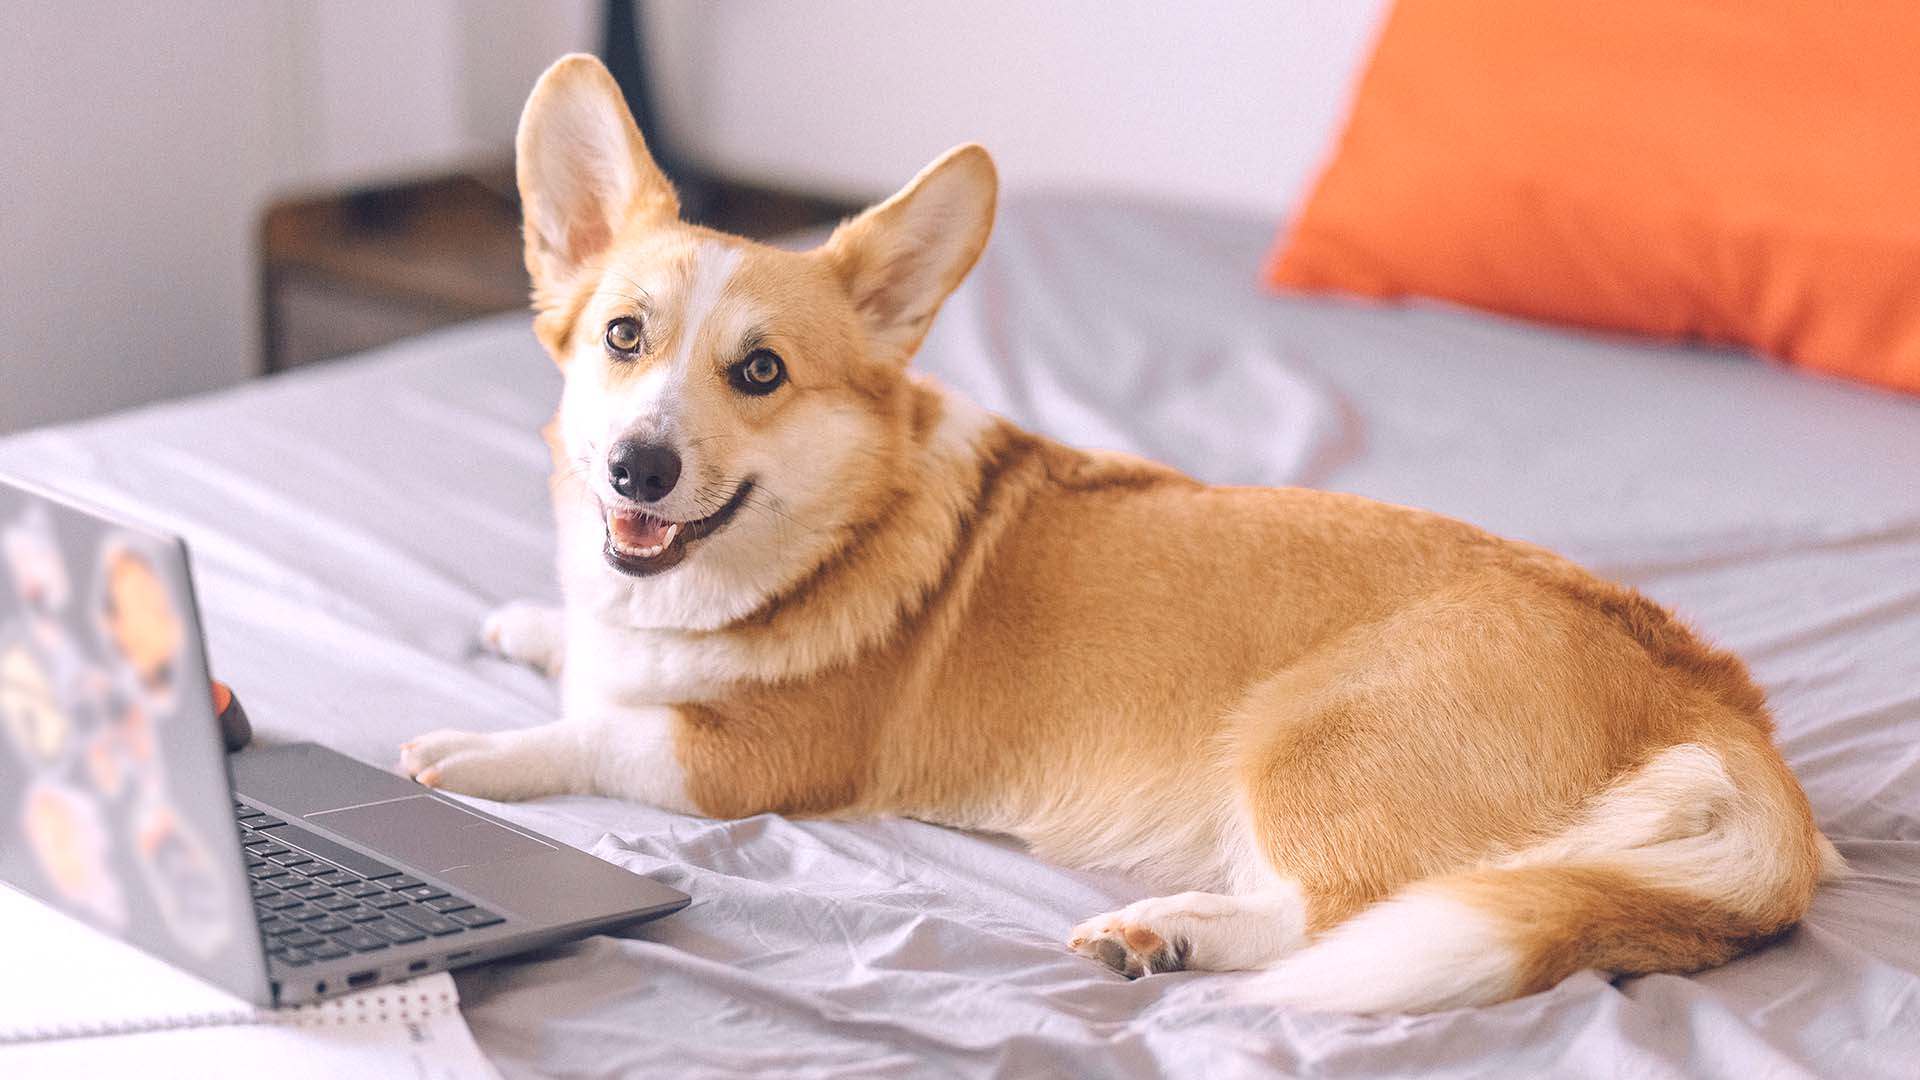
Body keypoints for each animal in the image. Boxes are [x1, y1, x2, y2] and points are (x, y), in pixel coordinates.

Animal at [397, 54, 1835, 1014]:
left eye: (760, 374)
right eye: (622, 337)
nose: (637, 466)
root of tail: (1719, 706)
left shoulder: (744, 765)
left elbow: (599, 731)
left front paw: (470, 752)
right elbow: (575, 652)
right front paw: (526, 623)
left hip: (1308, 737)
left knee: (1347, 917)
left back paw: (1176, 932)